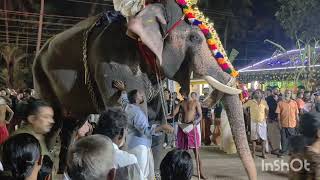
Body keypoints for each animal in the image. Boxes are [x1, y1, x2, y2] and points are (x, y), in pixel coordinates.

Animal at [33, 0, 258, 179]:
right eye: (195, 38)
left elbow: (154, 117)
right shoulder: (112, 61)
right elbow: (130, 115)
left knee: (72, 124)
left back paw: (63, 170)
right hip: (40, 74)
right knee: (54, 121)